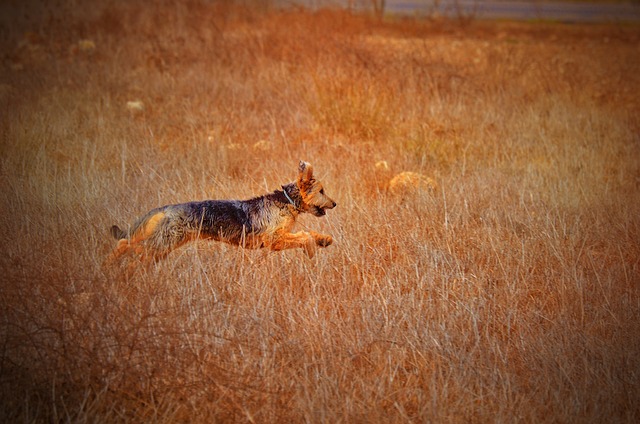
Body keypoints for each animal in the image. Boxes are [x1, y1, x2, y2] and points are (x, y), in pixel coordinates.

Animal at [107, 161, 338, 264]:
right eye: (321, 191)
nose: (335, 203)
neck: (287, 201)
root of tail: (166, 208)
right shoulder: (274, 239)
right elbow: (303, 236)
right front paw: (310, 248)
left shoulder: (279, 237)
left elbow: (309, 234)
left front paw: (323, 240)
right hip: (164, 242)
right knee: (130, 246)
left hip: (161, 244)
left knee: (126, 243)